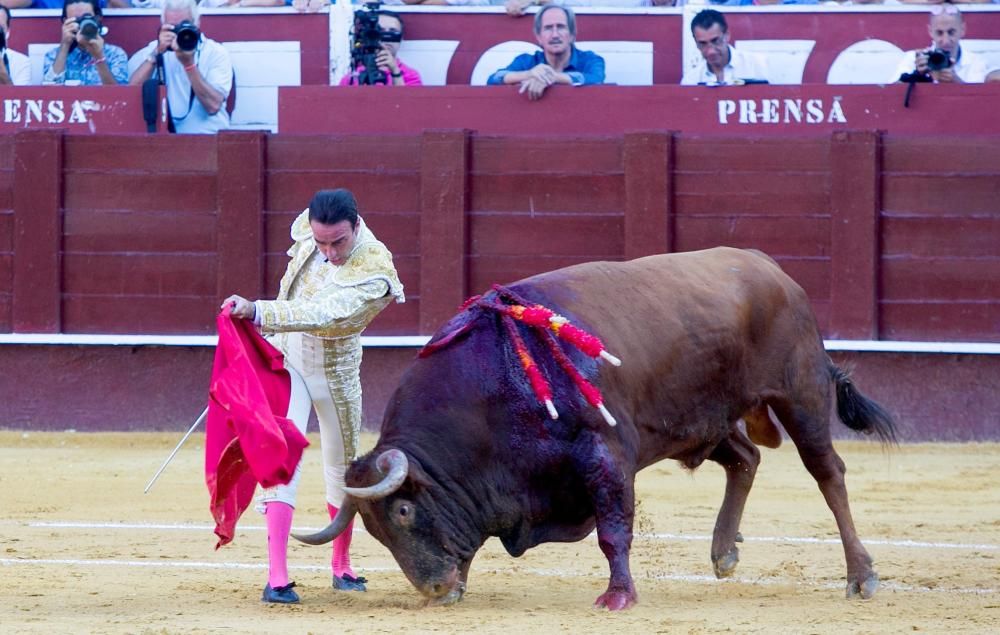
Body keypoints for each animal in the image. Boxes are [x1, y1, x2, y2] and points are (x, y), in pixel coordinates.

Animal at [292, 247, 896, 612]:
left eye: (402, 511)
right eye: (374, 531)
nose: (436, 590)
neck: (496, 383)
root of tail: (770, 268)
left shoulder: (605, 454)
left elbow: (613, 530)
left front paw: (618, 597)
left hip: (801, 394)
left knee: (827, 473)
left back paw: (861, 576)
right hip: (706, 419)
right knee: (746, 458)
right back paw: (724, 552)